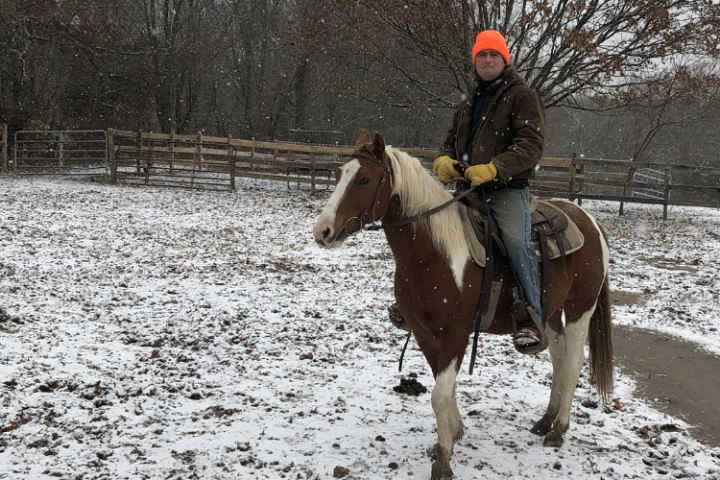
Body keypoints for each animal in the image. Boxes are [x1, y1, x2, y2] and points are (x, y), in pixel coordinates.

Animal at [312, 130, 614, 480]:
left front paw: (443, 459)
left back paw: (558, 429)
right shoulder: (425, 334)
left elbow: (439, 395)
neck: (433, 255)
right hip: (550, 313)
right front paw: (454, 432)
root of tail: (592, 223)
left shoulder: (456, 334)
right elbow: (442, 388)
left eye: (364, 179)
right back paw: (545, 420)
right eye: (337, 175)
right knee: (560, 360)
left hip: (581, 308)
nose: (323, 231)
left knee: (575, 361)